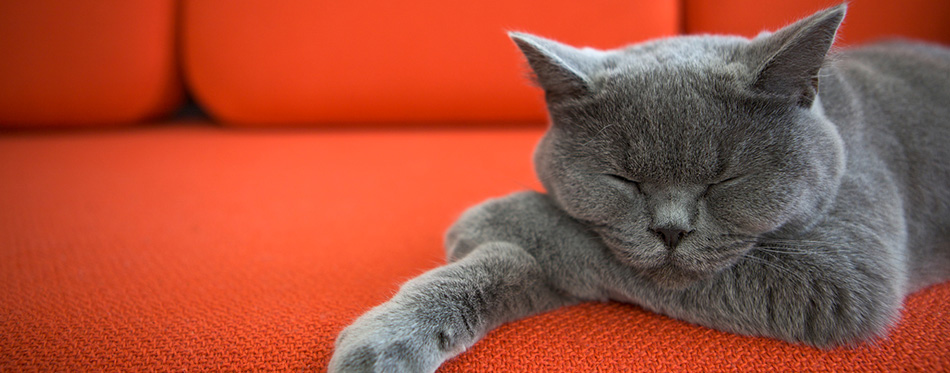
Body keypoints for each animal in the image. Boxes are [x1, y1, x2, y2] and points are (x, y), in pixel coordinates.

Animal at [330, 4, 950, 370]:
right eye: (623, 179)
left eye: (724, 180)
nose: (671, 230)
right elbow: (512, 264)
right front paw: (386, 342)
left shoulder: (845, 277)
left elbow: (580, 242)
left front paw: (488, 217)